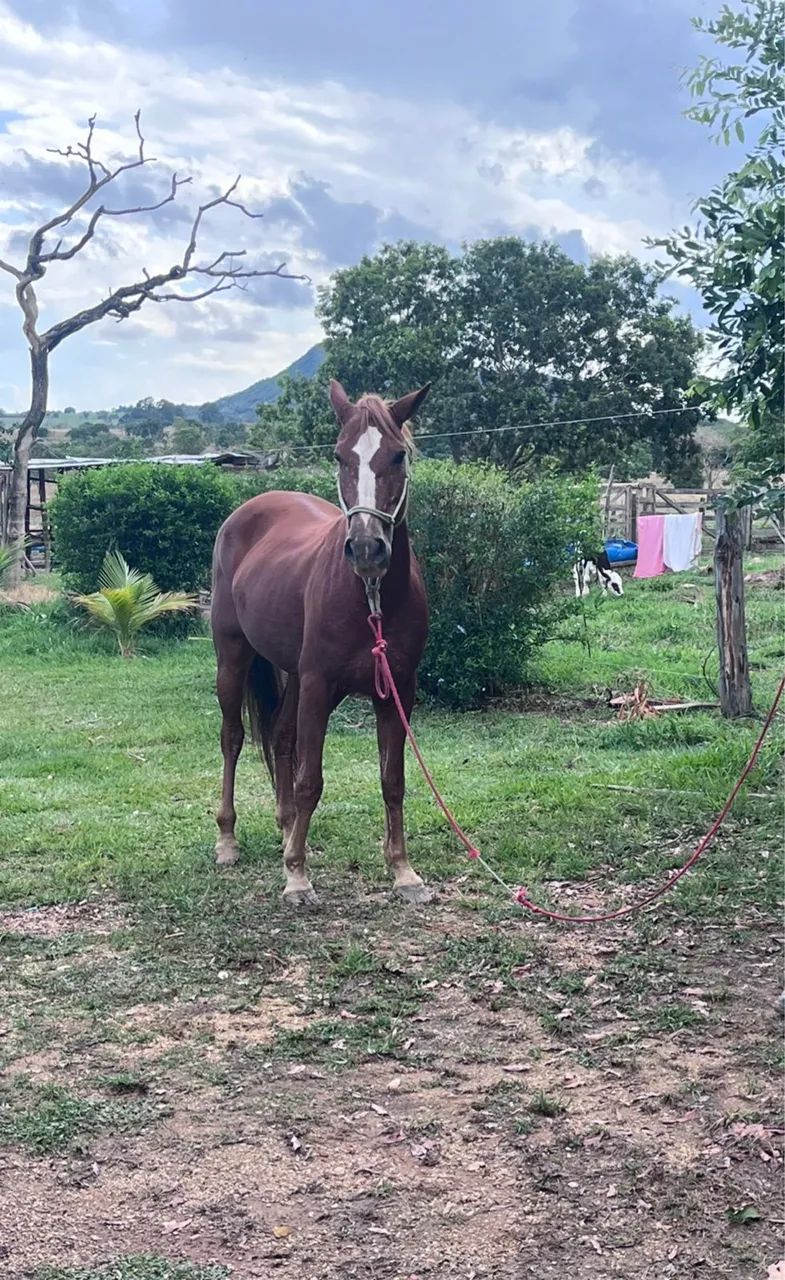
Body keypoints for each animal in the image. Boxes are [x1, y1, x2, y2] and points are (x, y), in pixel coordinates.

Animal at [210, 379, 432, 907]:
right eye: (338, 454)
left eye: (398, 455)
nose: (368, 548)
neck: (370, 599)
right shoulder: (318, 683)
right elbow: (311, 780)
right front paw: (297, 877)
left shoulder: (397, 690)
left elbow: (393, 780)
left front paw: (403, 871)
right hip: (233, 657)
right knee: (233, 738)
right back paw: (228, 840)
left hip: (291, 673)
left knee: (281, 737)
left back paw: (287, 829)